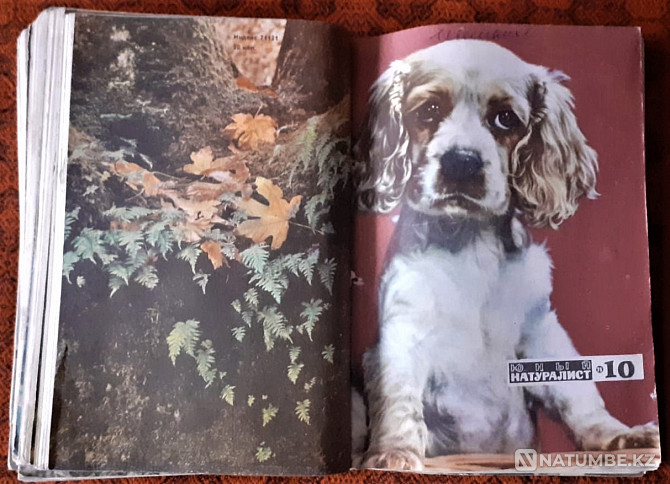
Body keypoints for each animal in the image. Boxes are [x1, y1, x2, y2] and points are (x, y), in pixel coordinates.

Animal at [356, 39, 660, 470]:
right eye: (428, 111)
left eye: (505, 119)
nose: (461, 162)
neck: (469, 241)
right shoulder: (402, 332)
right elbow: (399, 399)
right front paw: (393, 453)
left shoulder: (540, 329)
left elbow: (579, 392)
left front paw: (616, 436)